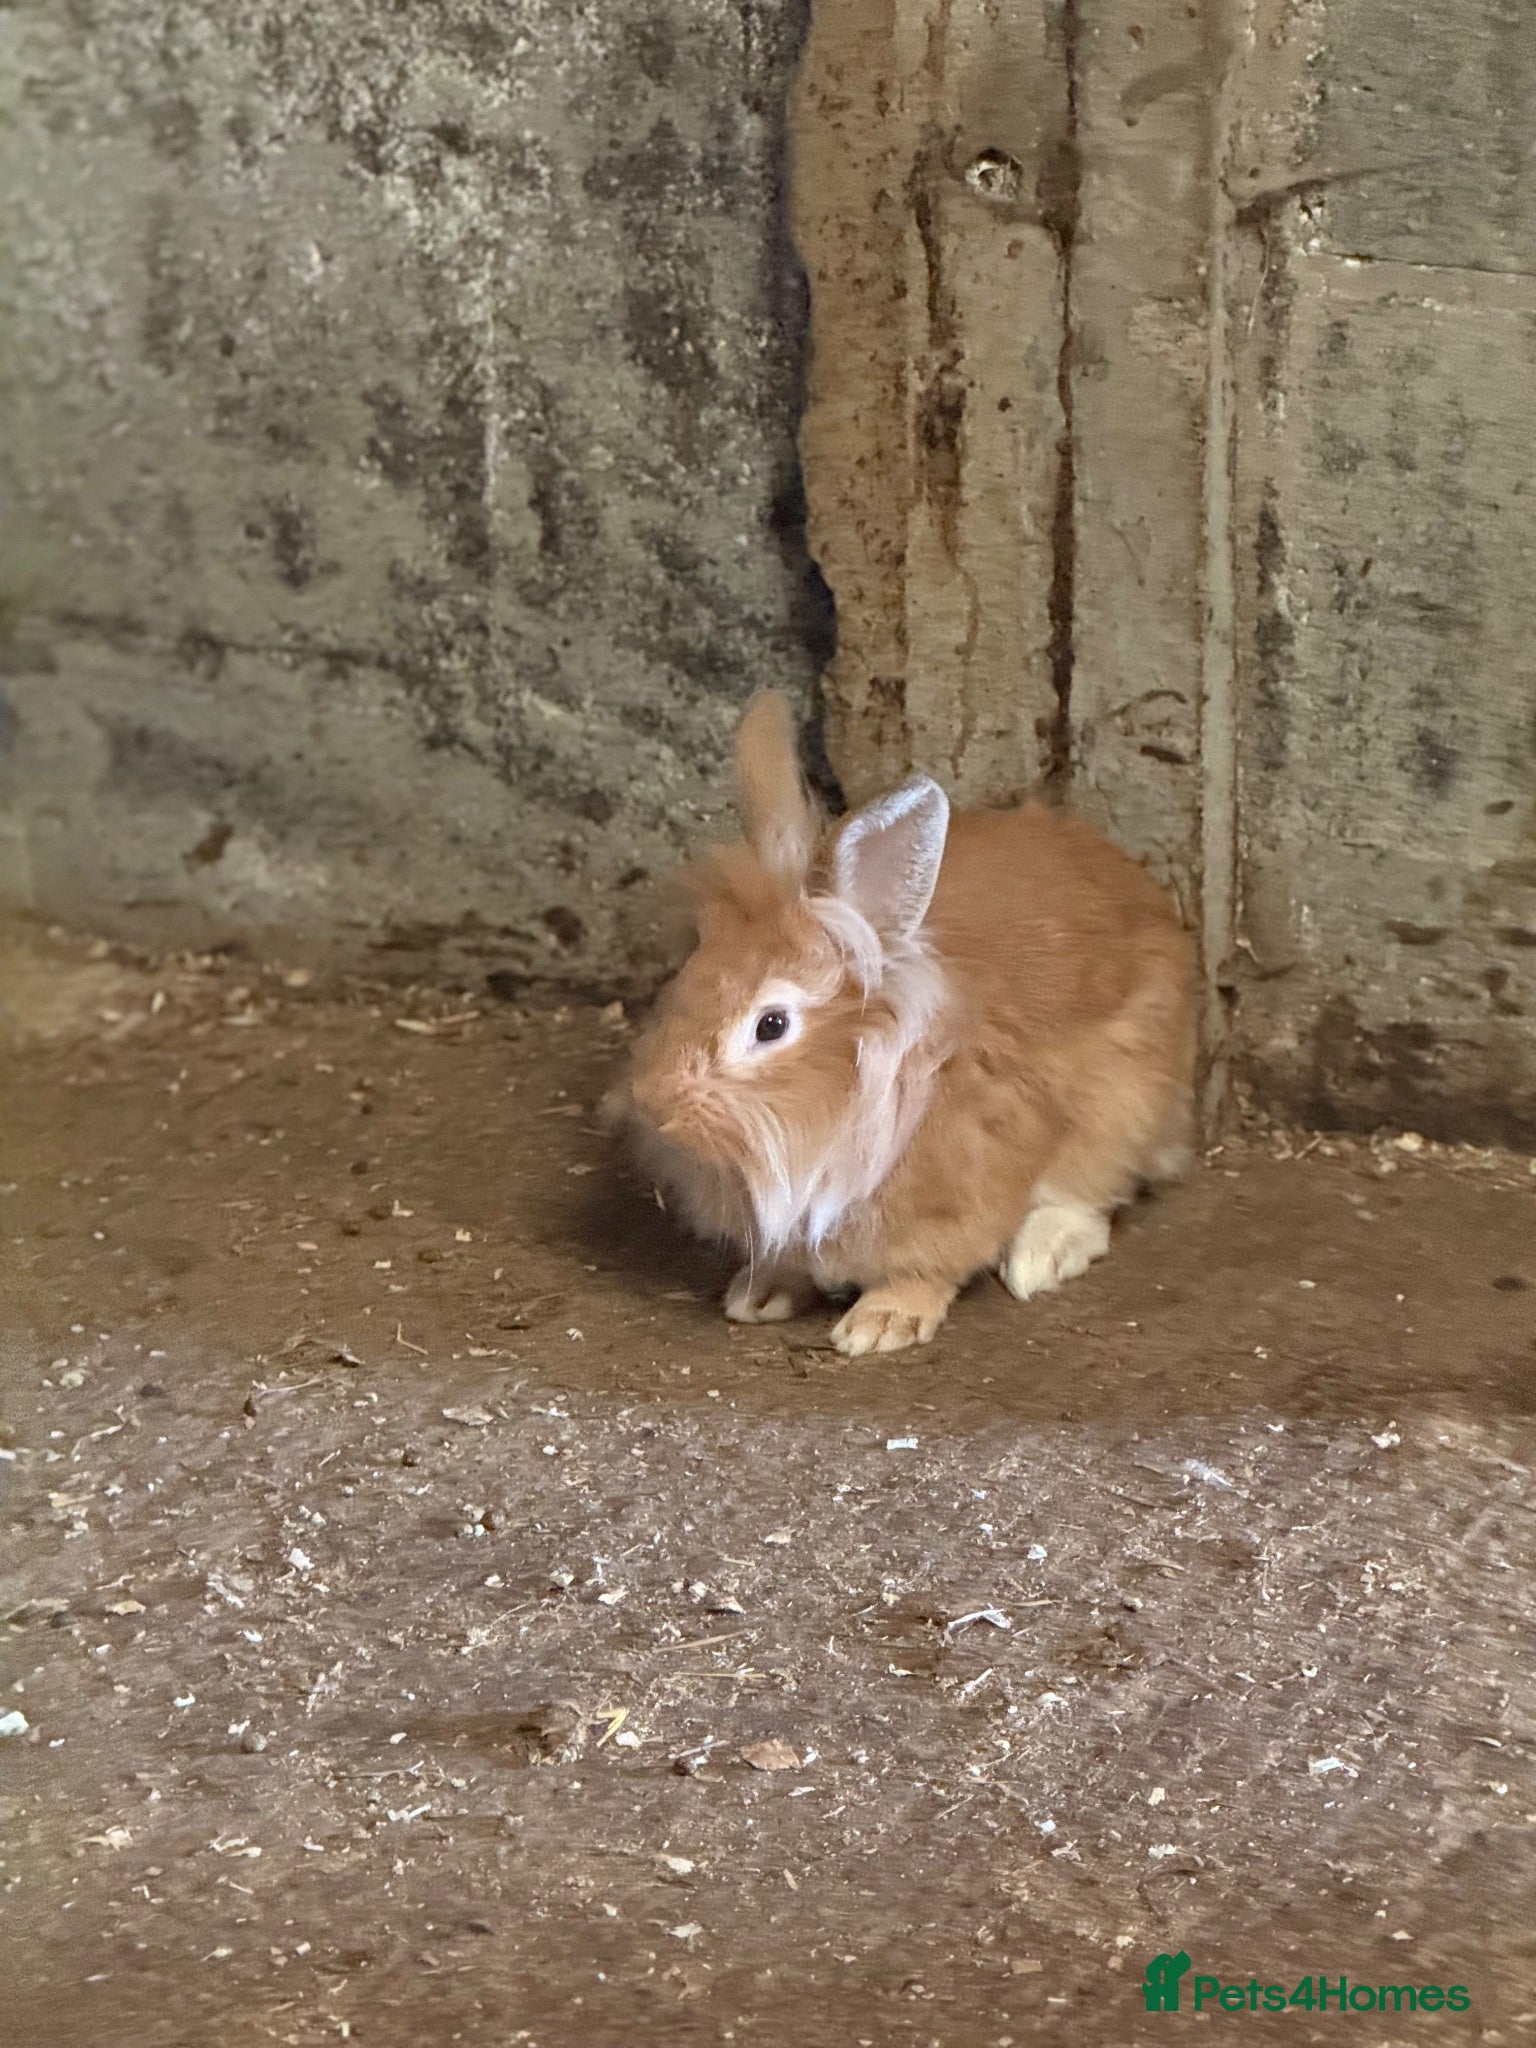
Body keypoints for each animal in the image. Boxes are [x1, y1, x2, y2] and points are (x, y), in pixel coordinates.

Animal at [606, 690, 1196, 1356]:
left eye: (771, 1025)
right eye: (690, 972)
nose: (653, 1102)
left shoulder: (959, 1194)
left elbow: (925, 1268)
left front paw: (880, 1324)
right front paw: (757, 1295)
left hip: (1122, 1109)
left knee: (1092, 1197)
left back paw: (1039, 1259)